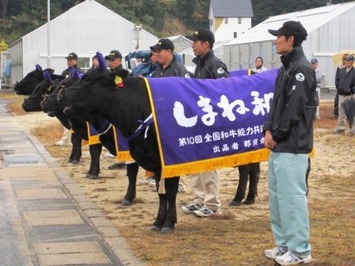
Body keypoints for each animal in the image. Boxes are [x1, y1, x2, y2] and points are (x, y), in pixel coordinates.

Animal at [60, 66, 181, 233]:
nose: (61, 95)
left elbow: (169, 191)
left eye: (87, 79)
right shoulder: (155, 160)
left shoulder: (172, 157)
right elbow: (160, 192)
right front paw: (158, 222)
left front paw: (169, 223)